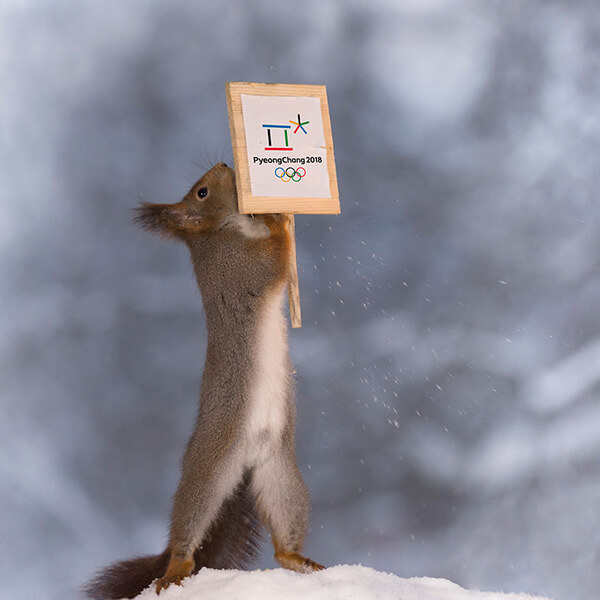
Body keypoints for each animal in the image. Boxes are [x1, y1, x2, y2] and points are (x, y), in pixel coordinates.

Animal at [84, 164, 324, 600]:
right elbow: (274, 261)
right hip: (208, 473)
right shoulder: (240, 267)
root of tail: (244, 463)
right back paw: (176, 567)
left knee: (283, 540)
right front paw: (278, 219)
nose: (226, 166)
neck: (222, 232)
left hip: (280, 475)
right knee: (188, 530)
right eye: (202, 192)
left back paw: (299, 558)